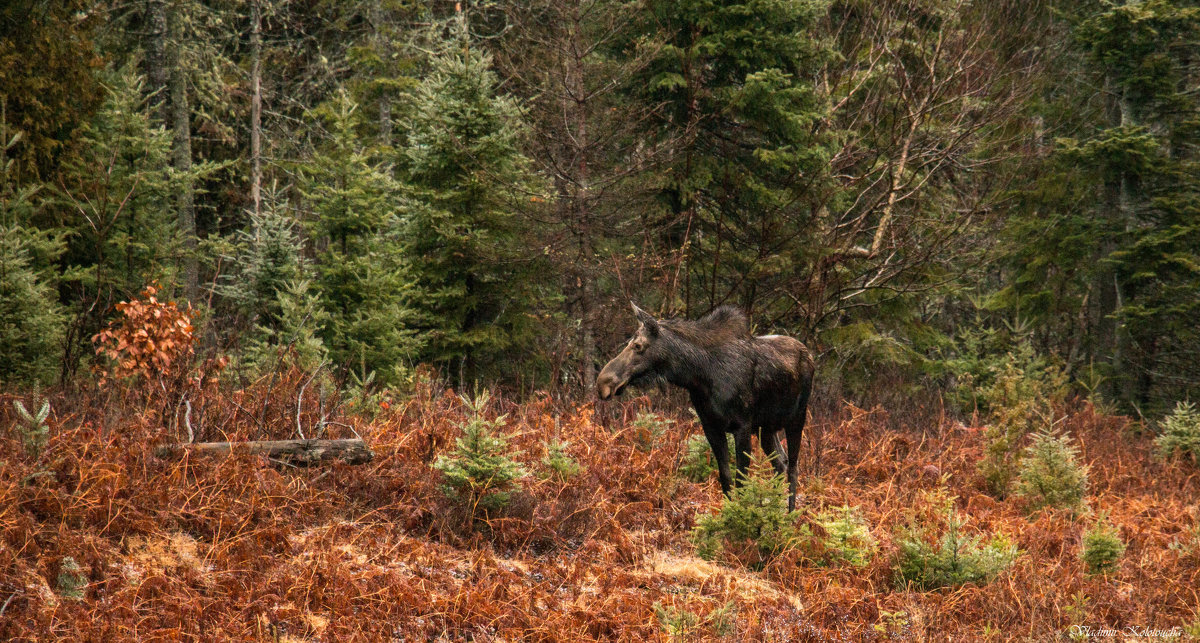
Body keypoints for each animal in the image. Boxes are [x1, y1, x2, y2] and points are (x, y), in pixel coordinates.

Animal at [597, 303, 816, 511]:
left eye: (638, 345)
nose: (603, 383)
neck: (699, 375)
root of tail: (809, 356)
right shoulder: (711, 426)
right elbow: (725, 478)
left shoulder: (742, 426)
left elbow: (741, 480)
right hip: (766, 428)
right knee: (781, 462)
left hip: (797, 417)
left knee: (793, 467)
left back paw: (790, 515)